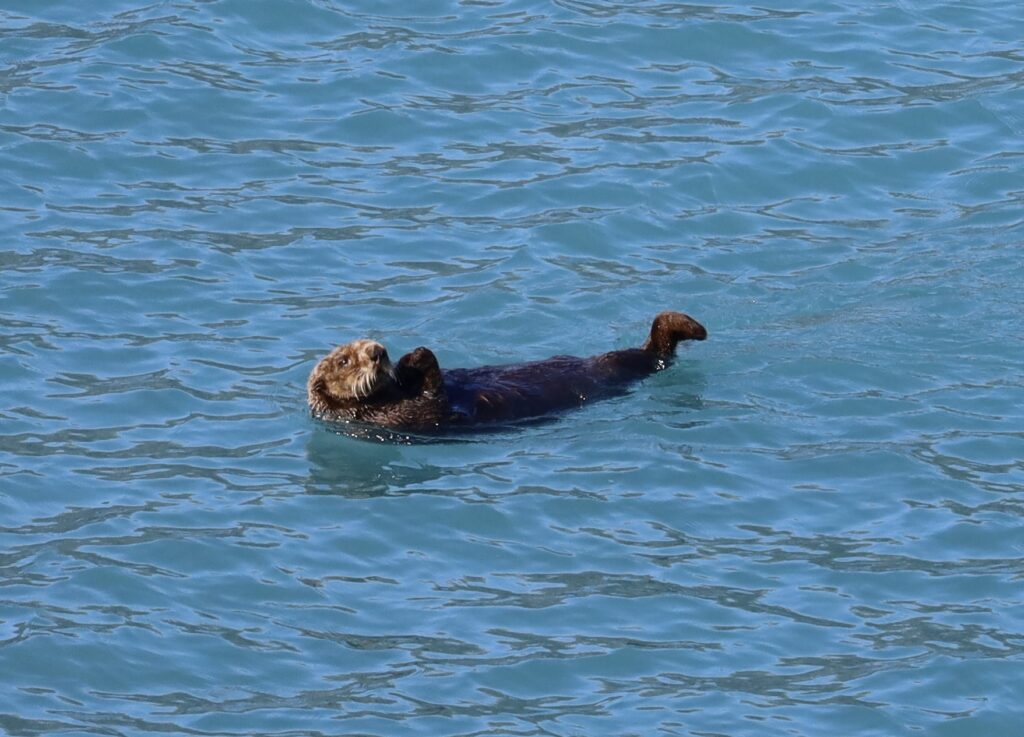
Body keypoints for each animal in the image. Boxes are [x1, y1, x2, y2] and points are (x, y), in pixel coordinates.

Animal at [307, 310, 707, 433]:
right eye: (345, 361)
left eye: (369, 345)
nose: (380, 351)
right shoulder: (405, 418)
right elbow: (435, 398)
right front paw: (414, 359)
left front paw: (407, 362)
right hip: (620, 367)